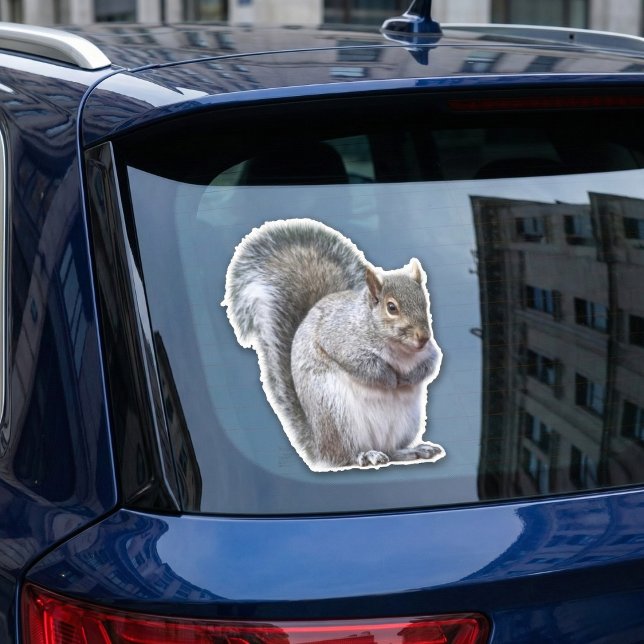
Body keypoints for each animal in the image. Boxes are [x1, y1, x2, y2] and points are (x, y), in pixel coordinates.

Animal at [223, 218, 444, 471]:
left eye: (424, 303)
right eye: (391, 307)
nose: (423, 337)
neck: (400, 349)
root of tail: (319, 447)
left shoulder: (428, 352)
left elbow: (431, 363)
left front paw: (410, 377)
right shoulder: (339, 339)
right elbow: (362, 364)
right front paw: (390, 379)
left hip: (405, 422)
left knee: (392, 450)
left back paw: (413, 450)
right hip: (338, 415)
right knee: (344, 456)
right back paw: (365, 455)